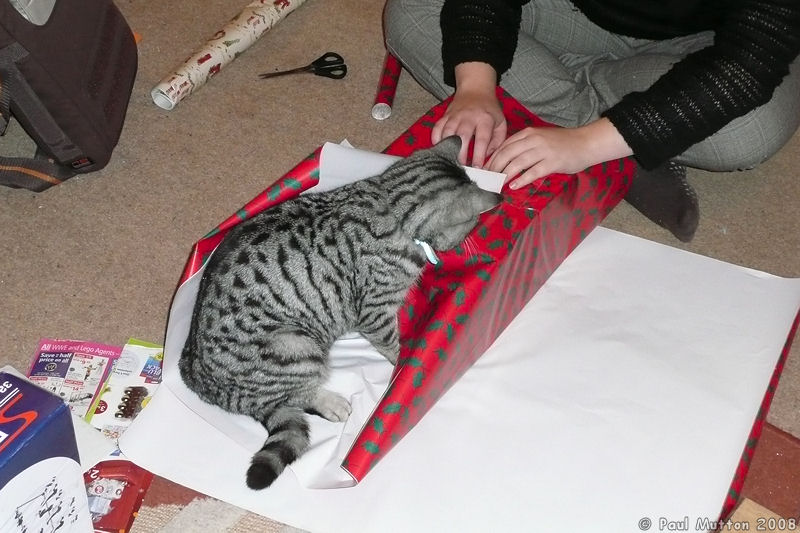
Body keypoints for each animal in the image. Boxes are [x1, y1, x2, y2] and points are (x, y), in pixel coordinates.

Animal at [180, 135, 500, 488]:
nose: (472, 239)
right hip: (297, 346)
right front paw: (402, 362)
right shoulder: (375, 311)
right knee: (293, 397)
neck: (390, 202)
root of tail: (196, 379)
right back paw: (330, 403)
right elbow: (392, 344)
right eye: (473, 223)